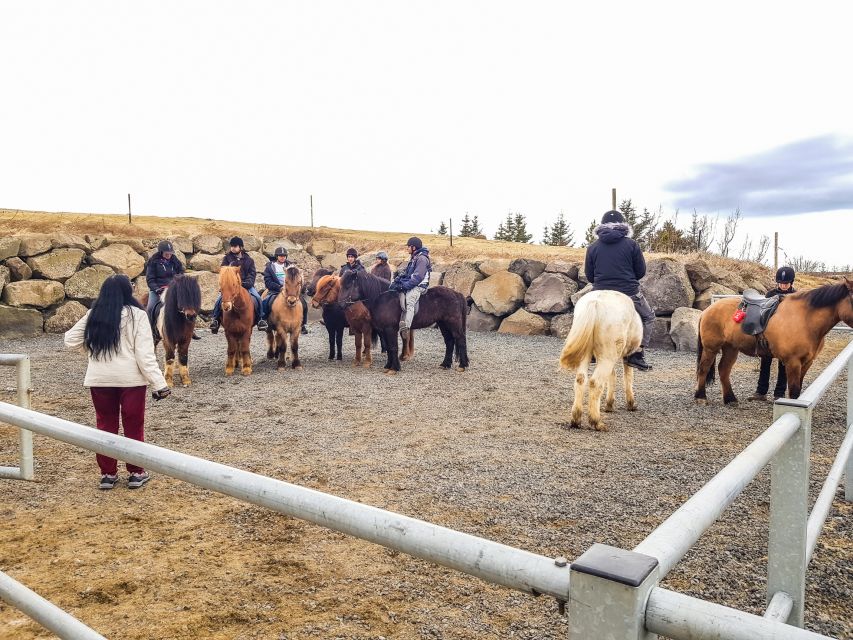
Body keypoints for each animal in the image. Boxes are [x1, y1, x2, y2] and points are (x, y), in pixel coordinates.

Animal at [338, 270, 470, 376]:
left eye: (348, 286)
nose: (340, 305)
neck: (383, 299)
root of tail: (457, 294)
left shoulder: (390, 329)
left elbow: (393, 347)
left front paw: (394, 368)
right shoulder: (384, 331)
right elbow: (389, 348)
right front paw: (388, 366)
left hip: (453, 323)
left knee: (460, 340)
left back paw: (462, 366)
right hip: (443, 324)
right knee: (449, 342)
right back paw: (445, 364)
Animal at [560, 288, 640, 430]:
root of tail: (595, 302)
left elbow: (612, 376)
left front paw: (609, 405)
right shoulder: (628, 355)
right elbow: (628, 376)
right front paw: (631, 404)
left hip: (587, 353)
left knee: (581, 379)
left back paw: (576, 420)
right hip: (608, 355)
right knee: (595, 382)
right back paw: (596, 422)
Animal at [696, 278, 852, 402]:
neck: (805, 319)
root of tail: (708, 310)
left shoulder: (807, 362)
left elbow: (798, 389)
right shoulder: (793, 362)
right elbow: (794, 391)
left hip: (731, 348)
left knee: (724, 370)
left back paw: (730, 399)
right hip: (711, 348)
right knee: (703, 369)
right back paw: (701, 397)